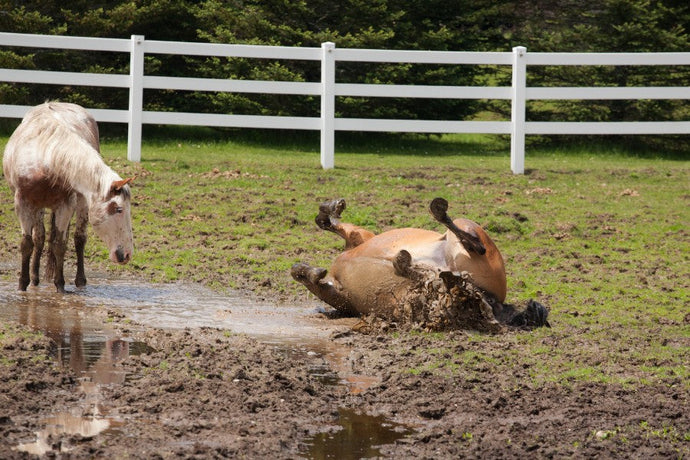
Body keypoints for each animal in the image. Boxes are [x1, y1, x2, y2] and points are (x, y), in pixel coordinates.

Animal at [2, 102, 135, 292]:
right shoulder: (23, 203)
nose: (127, 254)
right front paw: (22, 285)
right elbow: (27, 244)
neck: (45, 157)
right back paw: (34, 278)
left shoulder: (65, 206)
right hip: (38, 206)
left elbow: (59, 244)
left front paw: (60, 285)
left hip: (81, 203)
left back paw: (80, 280)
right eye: (118, 209)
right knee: (39, 238)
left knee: (79, 239)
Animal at [292, 198, 549, 332]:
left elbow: (332, 225)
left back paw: (437, 211)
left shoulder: (359, 238)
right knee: (436, 275)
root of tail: (496, 301)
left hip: (470, 234)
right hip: (436, 291)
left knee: (474, 244)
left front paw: (330, 210)